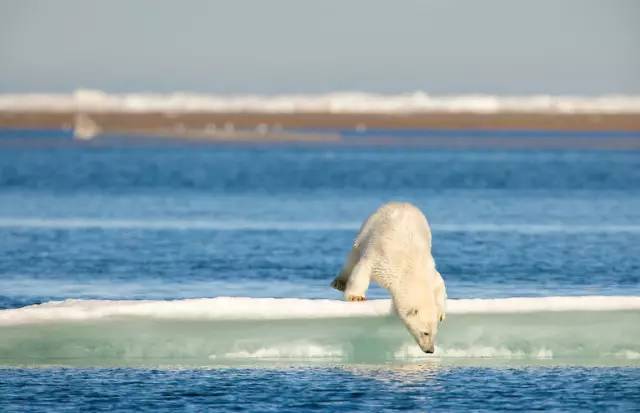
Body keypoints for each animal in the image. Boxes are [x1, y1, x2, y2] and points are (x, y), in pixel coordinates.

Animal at [332, 201, 448, 352]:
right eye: (425, 332)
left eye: (435, 333)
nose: (430, 350)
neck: (411, 269)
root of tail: (400, 202)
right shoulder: (384, 260)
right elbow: (363, 270)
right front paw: (355, 297)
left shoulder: (429, 271)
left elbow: (440, 284)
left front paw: (441, 313)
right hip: (368, 228)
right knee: (353, 255)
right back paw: (339, 282)